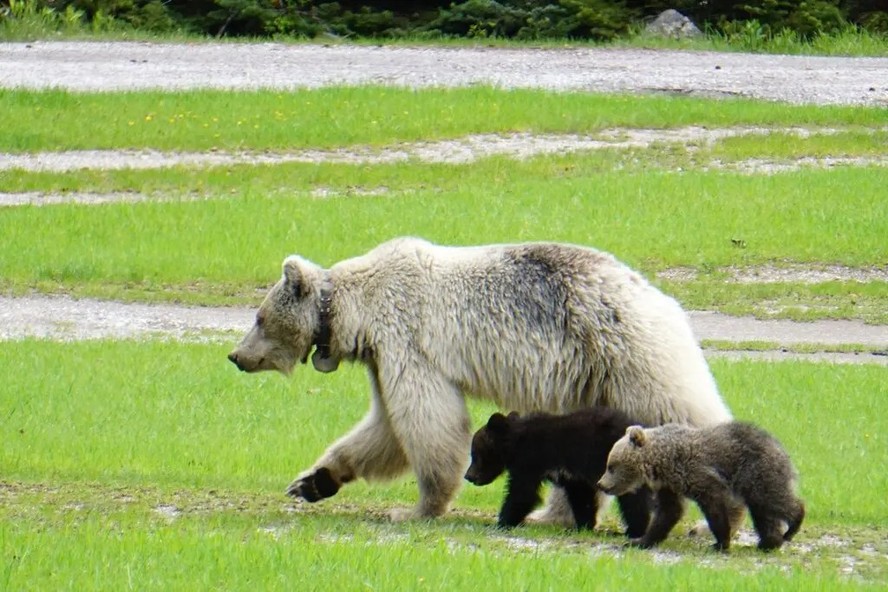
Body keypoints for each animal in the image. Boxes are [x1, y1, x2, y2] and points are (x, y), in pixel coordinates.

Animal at [227, 238, 728, 520]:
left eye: (258, 317)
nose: (235, 356)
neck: (357, 312)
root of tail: (662, 298)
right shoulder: (380, 358)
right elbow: (384, 429)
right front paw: (312, 481)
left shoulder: (407, 341)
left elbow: (427, 420)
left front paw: (417, 508)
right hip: (593, 380)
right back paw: (557, 515)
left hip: (628, 355)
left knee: (682, 410)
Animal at [596, 420, 804, 552]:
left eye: (610, 466)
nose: (601, 484)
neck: (662, 461)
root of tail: (782, 449)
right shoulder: (669, 486)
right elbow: (668, 512)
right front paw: (640, 541)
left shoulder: (700, 476)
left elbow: (714, 508)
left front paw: (720, 542)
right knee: (763, 512)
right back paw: (768, 543)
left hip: (756, 473)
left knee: (773, 500)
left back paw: (793, 525)